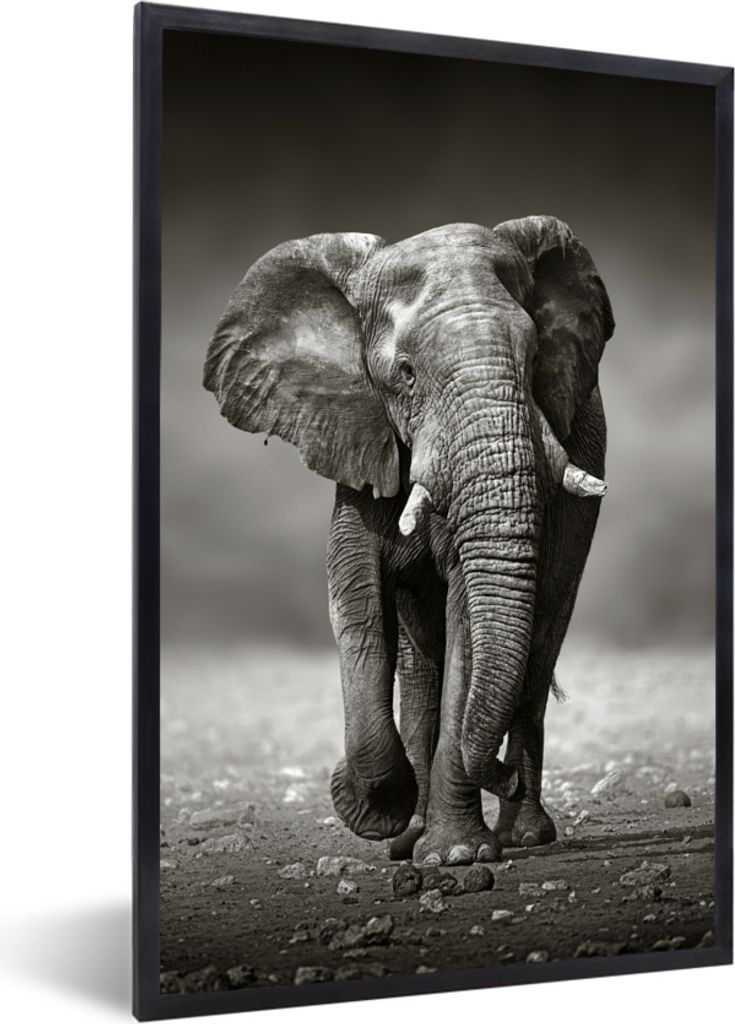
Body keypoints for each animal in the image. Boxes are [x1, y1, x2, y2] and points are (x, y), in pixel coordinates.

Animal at [203, 216, 614, 865]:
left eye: (532, 362)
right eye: (406, 373)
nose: (501, 777)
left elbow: (469, 616)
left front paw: (457, 856)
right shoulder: (358, 437)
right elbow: (357, 601)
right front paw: (378, 813)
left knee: (540, 636)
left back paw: (521, 835)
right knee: (421, 662)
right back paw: (411, 836)